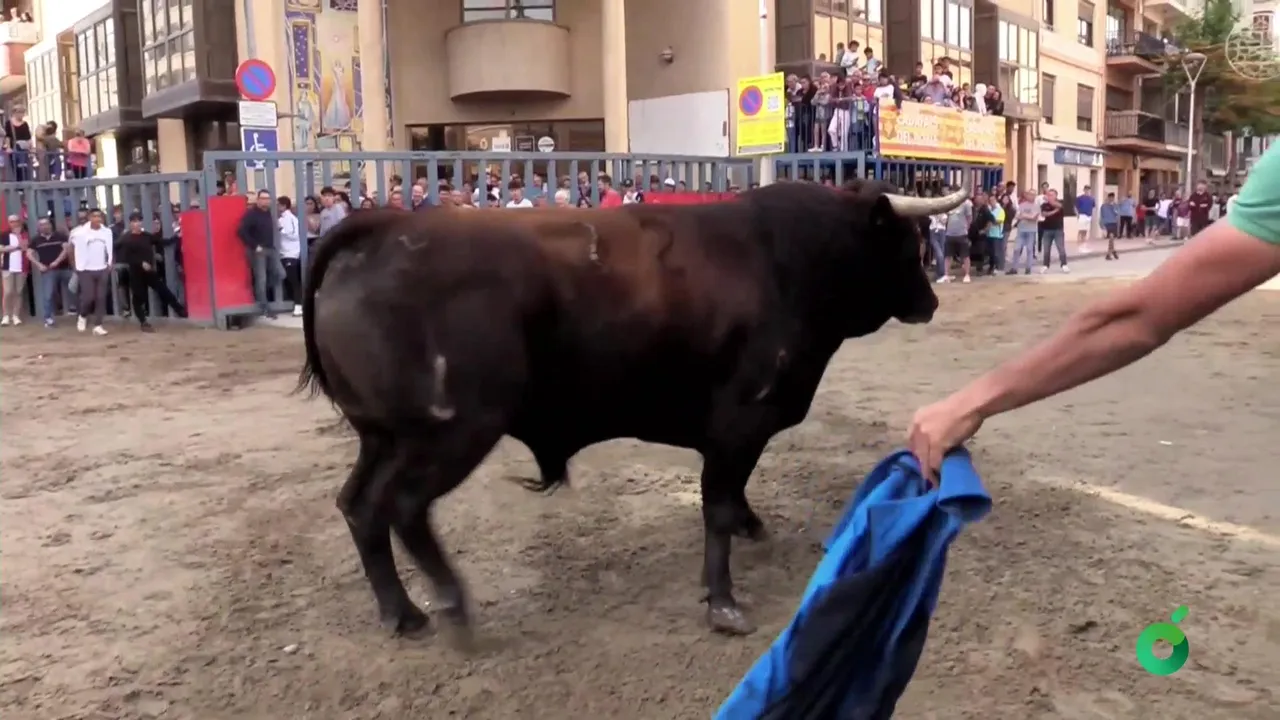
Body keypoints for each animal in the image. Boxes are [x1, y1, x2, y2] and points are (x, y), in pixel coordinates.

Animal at [296, 178, 969, 645]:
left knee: (359, 506)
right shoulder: (738, 421)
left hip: (383, 436)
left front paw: (749, 530)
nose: (931, 302)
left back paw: (402, 613)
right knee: (403, 507)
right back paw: (452, 606)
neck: (791, 259)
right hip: (451, 431)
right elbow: (717, 505)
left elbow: (733, 497)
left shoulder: (739, 431)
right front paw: (723, 602)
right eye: (906, 245)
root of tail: (381, 229)